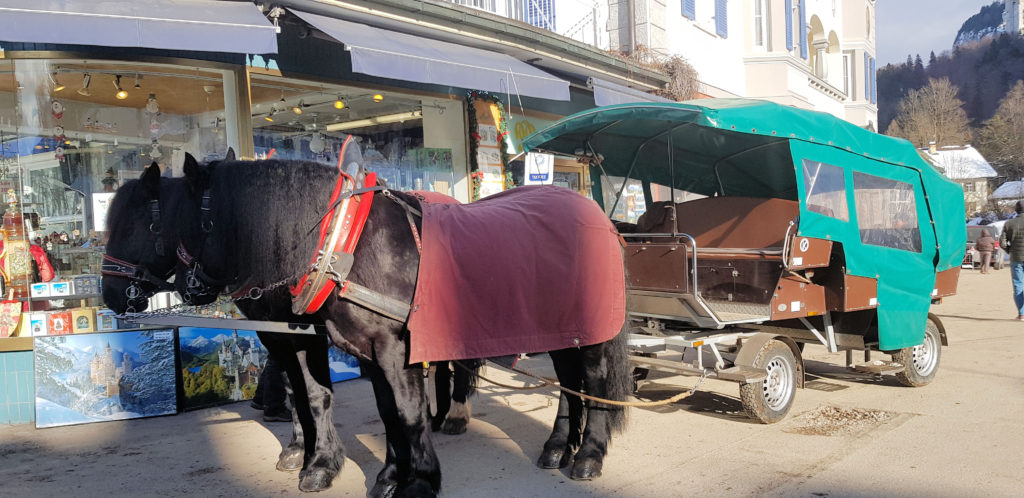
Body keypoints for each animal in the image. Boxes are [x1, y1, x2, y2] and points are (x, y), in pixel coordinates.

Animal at [105, 154, 630, 493]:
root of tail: (600, 218)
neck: (346, 246)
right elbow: (368, 408)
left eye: (147, 225)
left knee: (594, 384)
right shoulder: (354, 349)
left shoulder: (392, 350)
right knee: (568, 387)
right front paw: (379, 473)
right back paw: (557, 447)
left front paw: (418, 481)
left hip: (591, 335)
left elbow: (405, 413)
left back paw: (587, 456)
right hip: (560, 333)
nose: (110, 295)